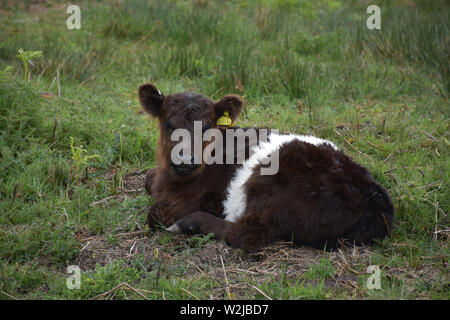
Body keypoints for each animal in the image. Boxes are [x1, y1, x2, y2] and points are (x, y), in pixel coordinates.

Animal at [138, 82, 394, 252]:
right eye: (169, 125)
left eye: (208, 127)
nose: (186, 160)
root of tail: (376, 199)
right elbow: (147, 178)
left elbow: (156, 213)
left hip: (269, 184)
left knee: (249, 235)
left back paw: (188, 223)